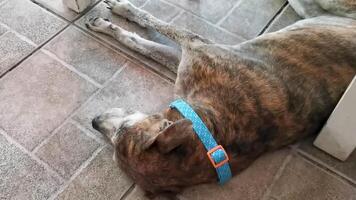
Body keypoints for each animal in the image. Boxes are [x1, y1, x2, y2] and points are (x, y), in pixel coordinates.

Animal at [87, 0, 356, 198]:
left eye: (121, 131)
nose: (94, 120)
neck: (213, 129)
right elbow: (139, 43)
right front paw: (108, 26)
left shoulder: (196, 45)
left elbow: (155, 22)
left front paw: (121, 10)